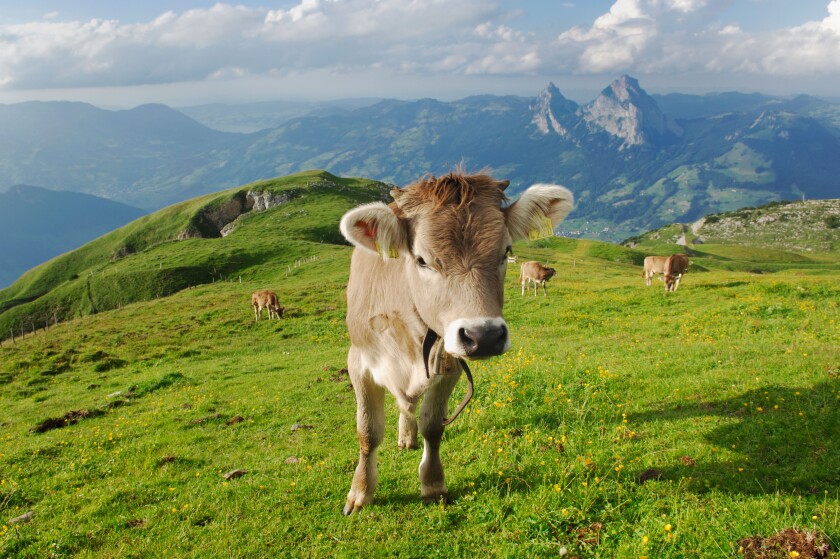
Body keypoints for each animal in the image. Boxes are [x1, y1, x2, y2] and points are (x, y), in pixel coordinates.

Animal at [338, 171, 574, 515]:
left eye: (505, 251)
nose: (484, 336)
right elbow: (367, 432)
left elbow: (433, 426)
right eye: (421, 260)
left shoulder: (450, 365)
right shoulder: (359, 362)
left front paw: (433, 484)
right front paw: (360, 492)